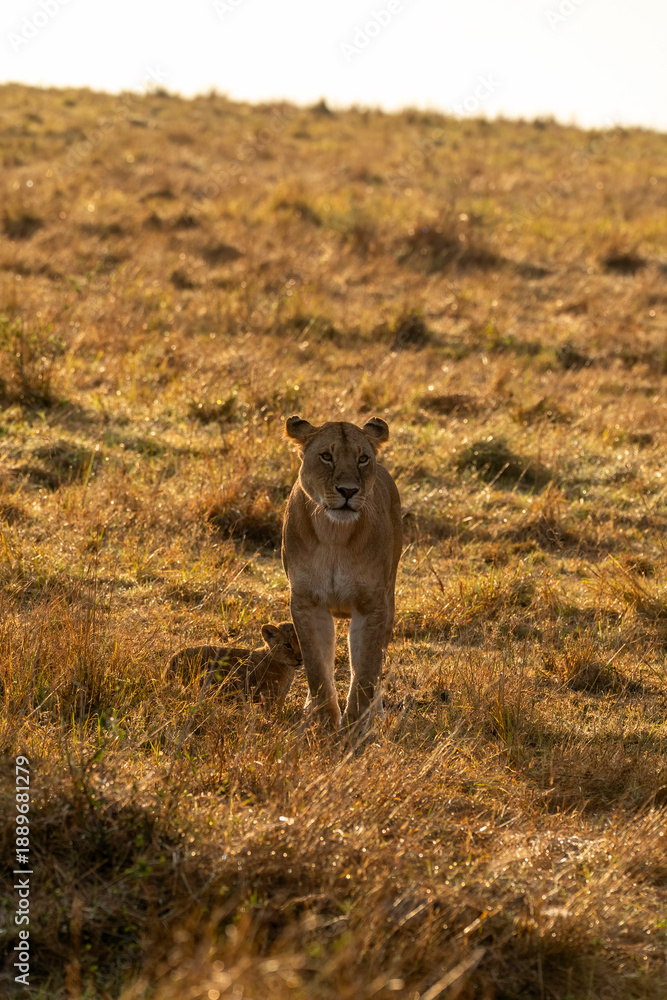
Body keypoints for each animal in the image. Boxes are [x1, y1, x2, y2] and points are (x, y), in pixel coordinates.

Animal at [282, 415, 402, 732]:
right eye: (327, 456)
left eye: (362, 459)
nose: (348, 491)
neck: (333, 534)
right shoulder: (306, 603)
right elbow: (317, 670)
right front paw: (324, 723)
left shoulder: (372, 605)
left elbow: (366, 672)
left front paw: (355, 728)